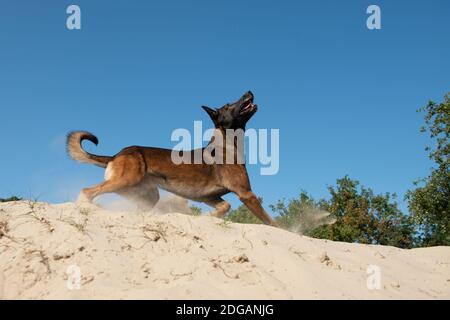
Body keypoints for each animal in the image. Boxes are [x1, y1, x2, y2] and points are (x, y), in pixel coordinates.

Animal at [67, 90, 278, 226]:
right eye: (228, 105)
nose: (248, 91)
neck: (226, 142)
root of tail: (116, 154)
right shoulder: (246, 194)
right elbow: (272, 223)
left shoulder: (210, 197)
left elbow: (224, 206)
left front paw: (208, 217)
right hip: (125, 180)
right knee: (87, 191)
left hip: (146, 195)